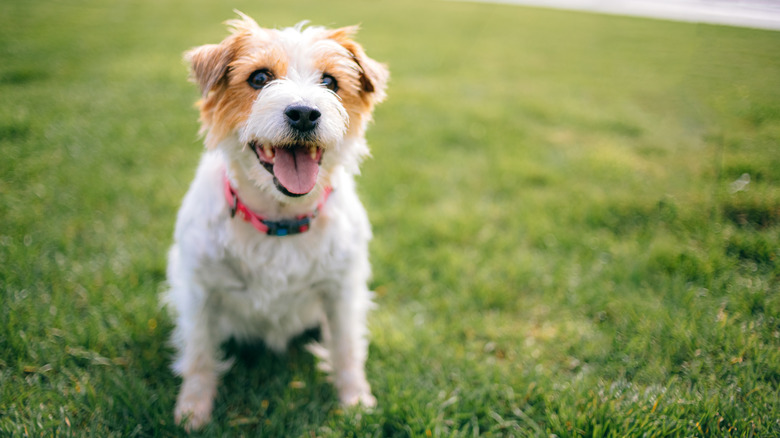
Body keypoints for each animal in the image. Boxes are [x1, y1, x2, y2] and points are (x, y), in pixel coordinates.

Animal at [163, 12, 388, 430]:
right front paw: (192, 410)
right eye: (259, 78)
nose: (304, 113)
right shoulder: (200, 293)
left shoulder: (341, 292)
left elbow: (347, 348)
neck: (280, 221)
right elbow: (200, 354)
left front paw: (355, 402)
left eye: (330, 82)